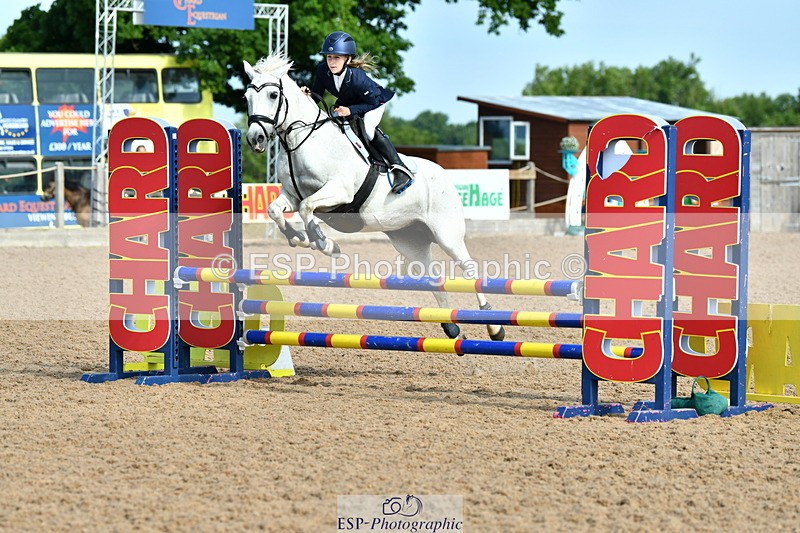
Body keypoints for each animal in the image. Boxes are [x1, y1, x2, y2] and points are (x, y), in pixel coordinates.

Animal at [243, 54, 505, 342]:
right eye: (247, 96)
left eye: (273, 94)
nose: (255, 139)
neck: (301, 140)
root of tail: (444, 175)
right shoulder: (291, 194)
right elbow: (276, 210)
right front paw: (298, 238)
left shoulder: (340, 191)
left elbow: (306, 207)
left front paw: (324, 243)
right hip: (409, 240)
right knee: (434, 277)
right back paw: (451, 328)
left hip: (447, 234)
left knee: (469, 269)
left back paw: (494, 326)